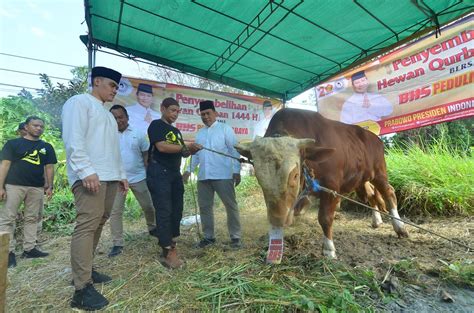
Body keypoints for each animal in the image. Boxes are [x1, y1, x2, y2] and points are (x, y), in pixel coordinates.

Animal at [237, 108, 408, 258]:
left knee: (389, 192)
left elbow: (325, 218)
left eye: (295, 175)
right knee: (371, 195)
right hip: (361, 179)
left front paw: (329, 249)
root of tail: (374, 137)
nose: (277, 219)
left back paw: (400, 227)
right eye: (258, 176)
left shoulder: (331, 187)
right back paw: (376, 220)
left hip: (379, 173)